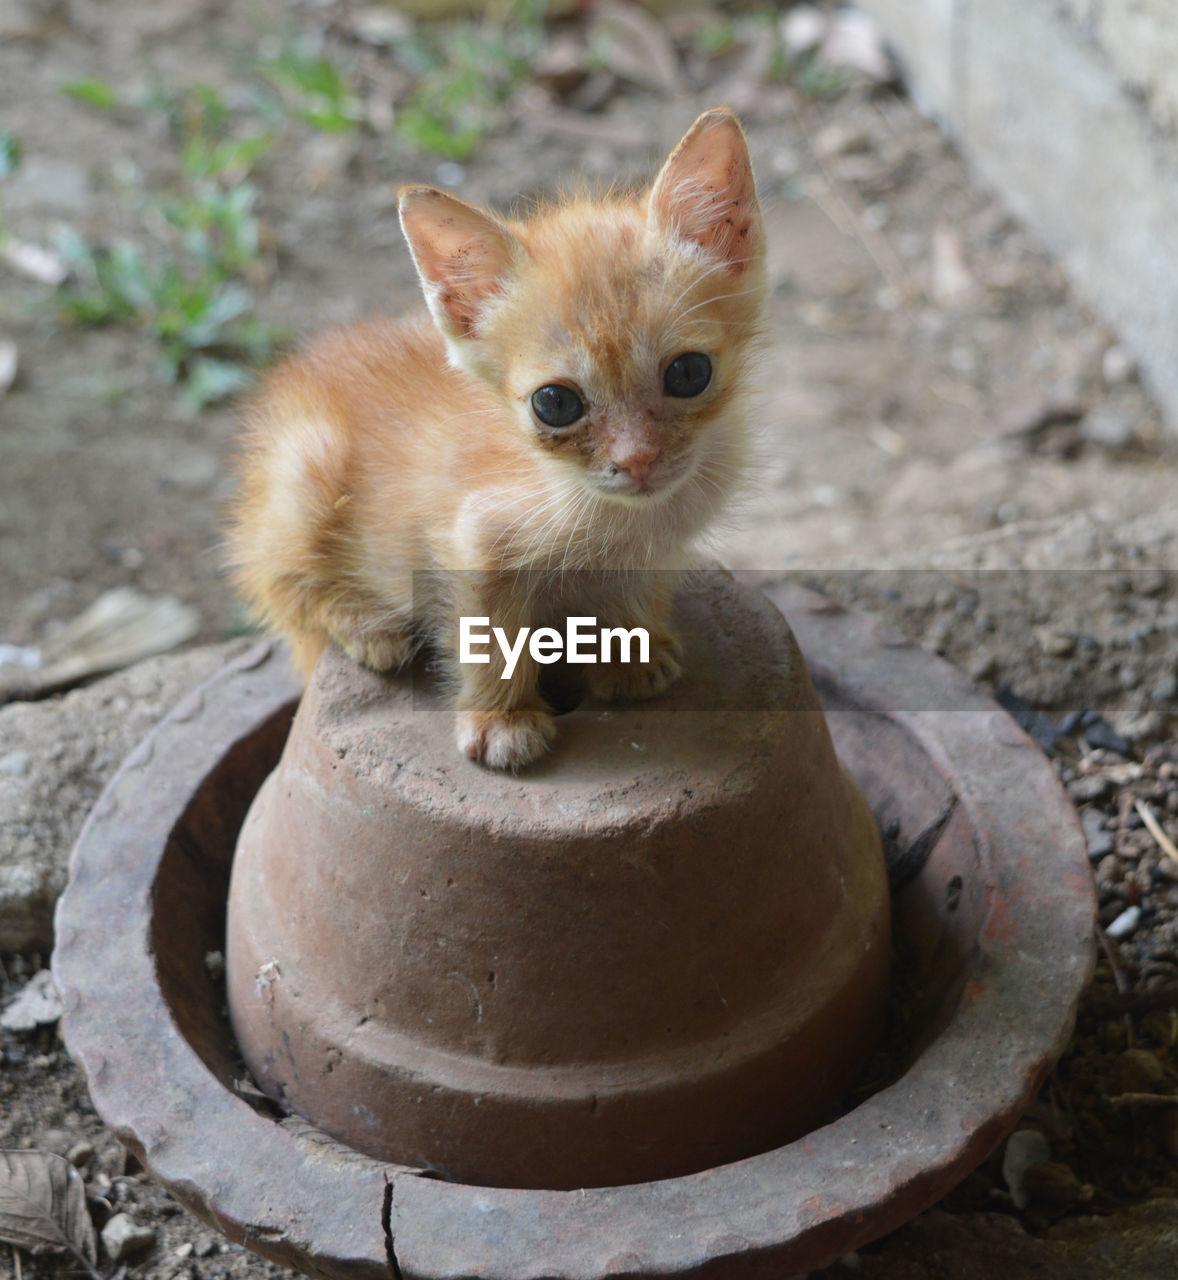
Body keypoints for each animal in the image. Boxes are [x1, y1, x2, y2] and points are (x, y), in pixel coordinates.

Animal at [226, 104, 768, 762]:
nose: (638, 461)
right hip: (303, 472)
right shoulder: (475, 541)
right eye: (555, 403)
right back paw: (363, 623)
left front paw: (631, 660)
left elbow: (634, 599)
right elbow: (490, 636)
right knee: (278, 582)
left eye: (689, 372)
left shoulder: (659, 552)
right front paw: (501, 721)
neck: (621, 520)